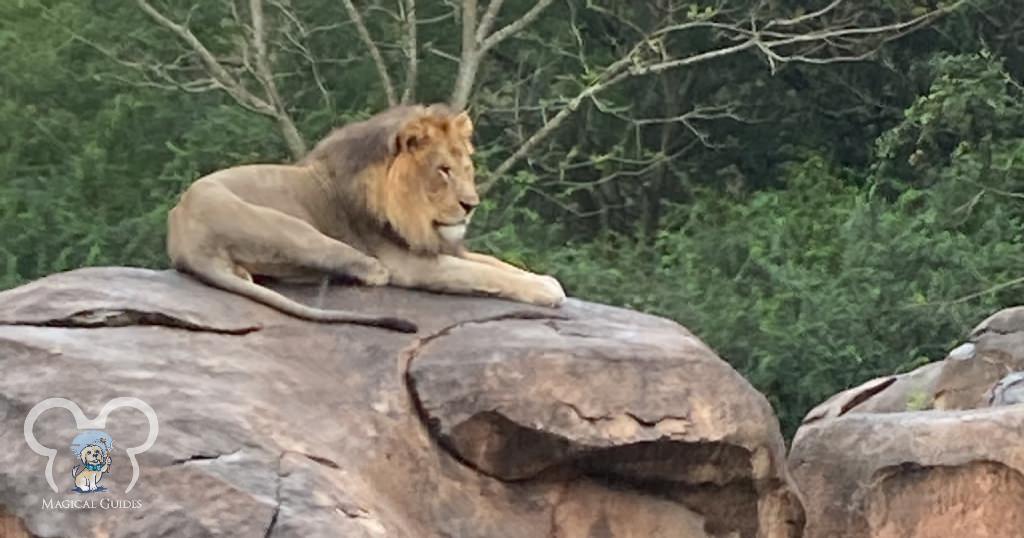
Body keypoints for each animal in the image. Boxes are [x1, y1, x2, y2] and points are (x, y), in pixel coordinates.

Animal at [168, 102, 569, 332]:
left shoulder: (437, 245)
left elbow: (497, 265)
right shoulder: (412, 263)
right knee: (369, 271)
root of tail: (186, 241)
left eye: (465, 168)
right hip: (297, 229)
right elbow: (484, 274)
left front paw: (543, 278)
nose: (471, 204)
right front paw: (547, 290)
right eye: (443, 170)